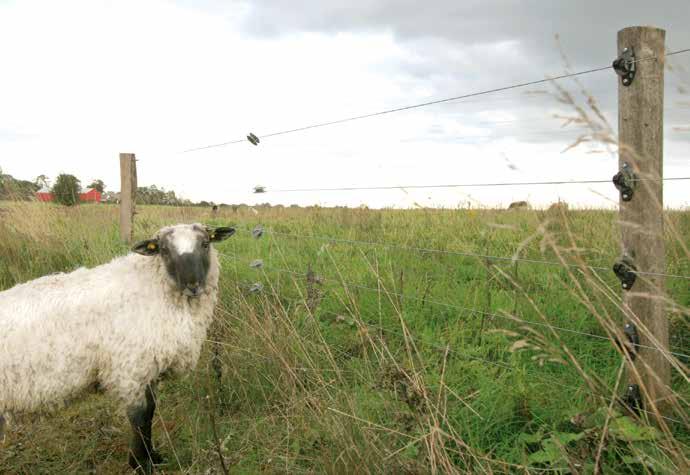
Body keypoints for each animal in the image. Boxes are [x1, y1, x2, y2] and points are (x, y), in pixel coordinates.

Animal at [0, 222, 235, 472]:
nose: (193, 285)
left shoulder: (148, 368)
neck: (154, 287)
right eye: (164, 250)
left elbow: (151, 411)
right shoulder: (129, 369)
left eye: (205, 243)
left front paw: (153, 457)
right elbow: (140, 417)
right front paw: (141, 464)